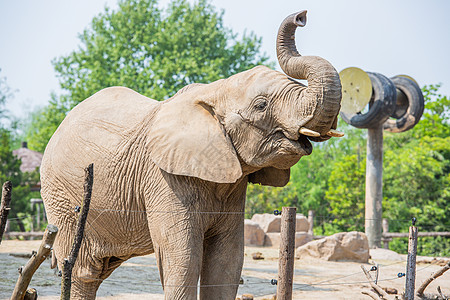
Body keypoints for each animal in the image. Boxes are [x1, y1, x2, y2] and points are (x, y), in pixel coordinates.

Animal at [42, 9, 342, 300]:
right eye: (261, 105)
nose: (301, 17)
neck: (214, 89)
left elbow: (227, 261)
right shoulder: (164, 177)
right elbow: (184, 260)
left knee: (97, 269)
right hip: (63, 200)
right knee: (81, 270)